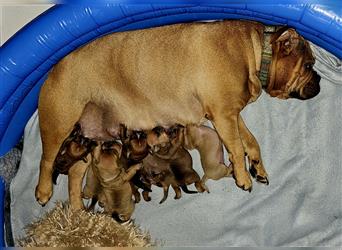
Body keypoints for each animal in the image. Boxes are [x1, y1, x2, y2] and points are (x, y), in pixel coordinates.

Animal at [34, 19, 320, 208]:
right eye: (309, 65)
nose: (318, 80)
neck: (258, 53)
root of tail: (54, 68)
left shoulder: (230, 115)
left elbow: (251, 142)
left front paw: (257, 167)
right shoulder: (224, 115)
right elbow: (237, 147)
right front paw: (243, 176)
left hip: (91, 137)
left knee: (73, 177)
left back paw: (77, 211)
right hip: (59, 120)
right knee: (46, 160)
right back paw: (44, 191)